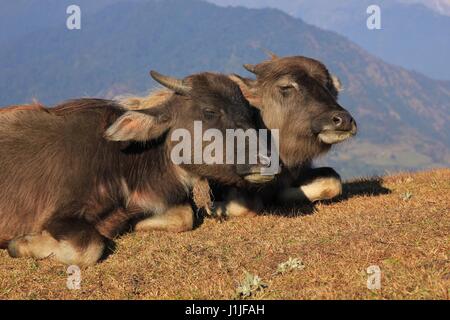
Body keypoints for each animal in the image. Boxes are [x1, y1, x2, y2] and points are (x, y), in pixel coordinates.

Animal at [0, 70, 272, 264]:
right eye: (210, 111)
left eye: (248, 112)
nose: (266, 162)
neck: (123, 160)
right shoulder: (60, 215)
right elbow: (88, 248)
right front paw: (21, 244)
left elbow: (184, 216)